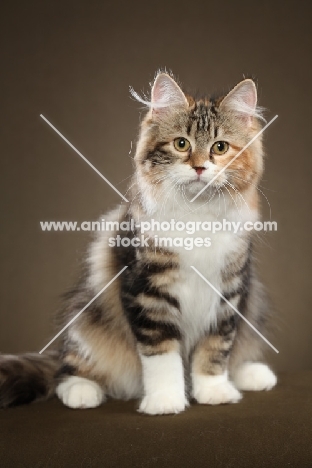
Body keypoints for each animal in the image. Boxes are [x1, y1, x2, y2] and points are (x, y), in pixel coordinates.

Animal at [0, 71, 278, 414]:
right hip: (86, 320)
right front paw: (165, 401)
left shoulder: (230, 291)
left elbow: (215, 350)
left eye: (220, 147)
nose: (199, 166)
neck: (197, 214)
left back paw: (252, 373)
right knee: (67, 368)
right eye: (181, 144)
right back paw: (82, 392)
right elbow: (162, 356)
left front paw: (213, 391)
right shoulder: (147, 291)